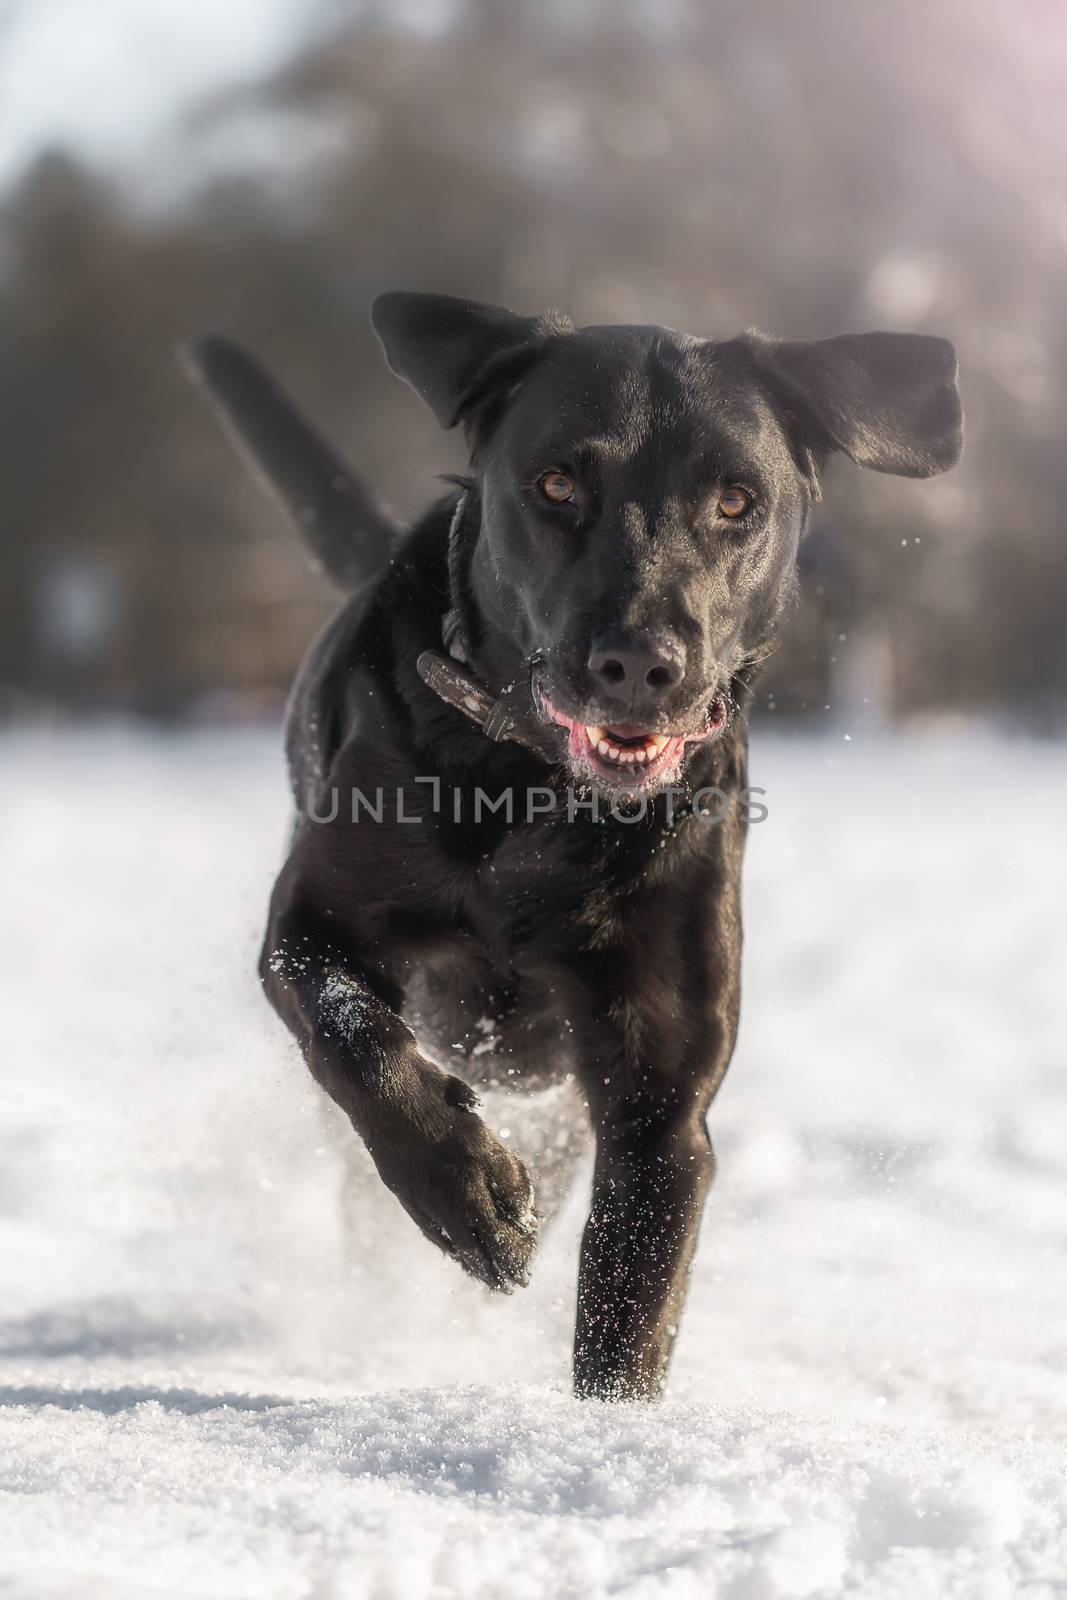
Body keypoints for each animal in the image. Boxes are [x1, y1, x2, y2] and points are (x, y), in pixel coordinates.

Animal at [183, 294, 959, 1395]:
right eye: (555, 484)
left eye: (735, 500)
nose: (639, 662)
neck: (539, 797)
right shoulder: (310, 922)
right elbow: (353, 1034)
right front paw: (468, 1196)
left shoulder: (659, 1085)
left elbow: (634, 1285)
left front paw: (604, 1428)